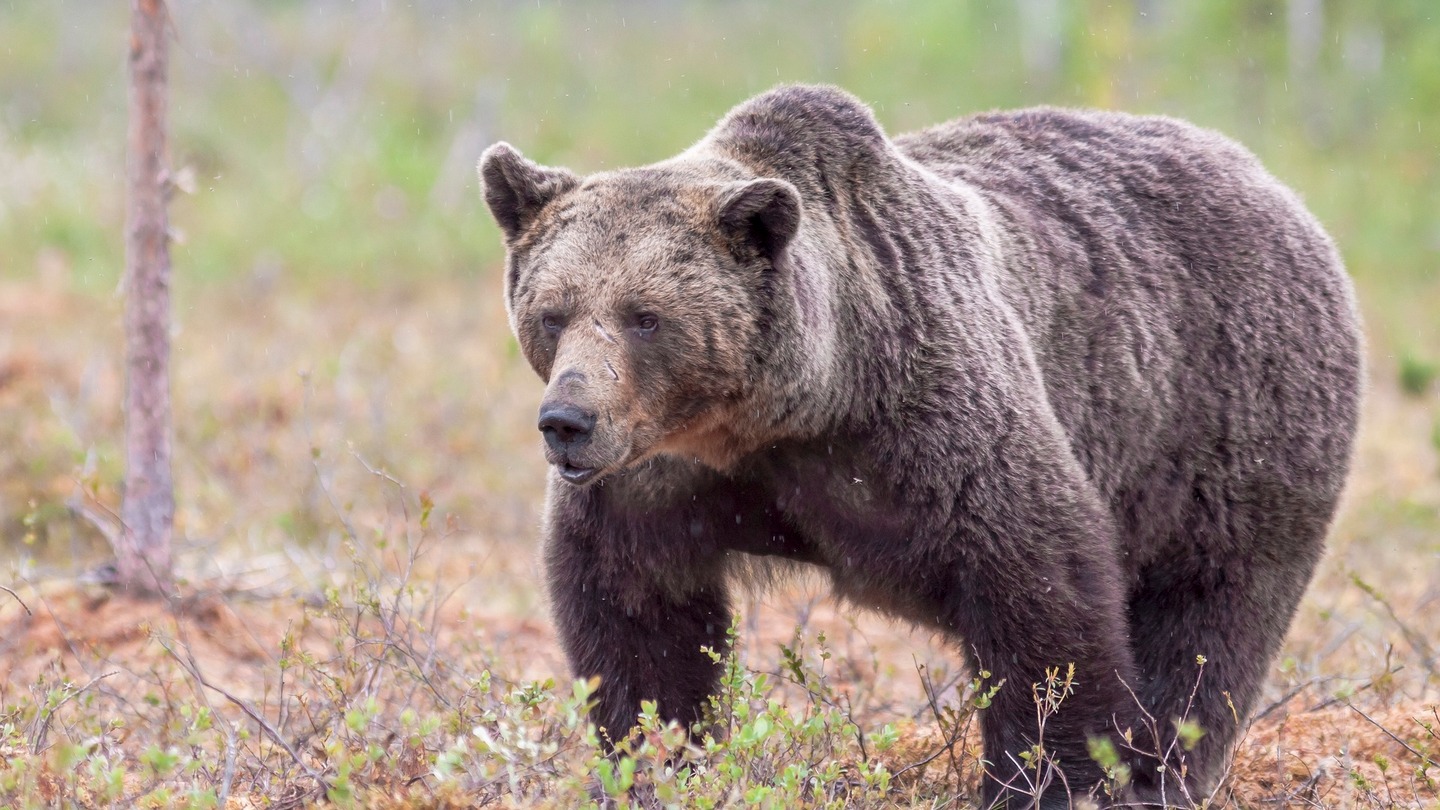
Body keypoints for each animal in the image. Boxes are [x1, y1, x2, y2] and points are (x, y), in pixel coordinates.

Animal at [480, 85, 1359, 801]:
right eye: (553, 311)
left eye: (645, 316)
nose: (567, 422)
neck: (789, 412)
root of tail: (1270, 180)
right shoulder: (662, 475)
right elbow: (639, 623)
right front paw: (659, 762)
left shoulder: (932, 421)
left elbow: (1043, 591)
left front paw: (1060, 779)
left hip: (1229, 424)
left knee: (1208, 618)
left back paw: (1164, 769)